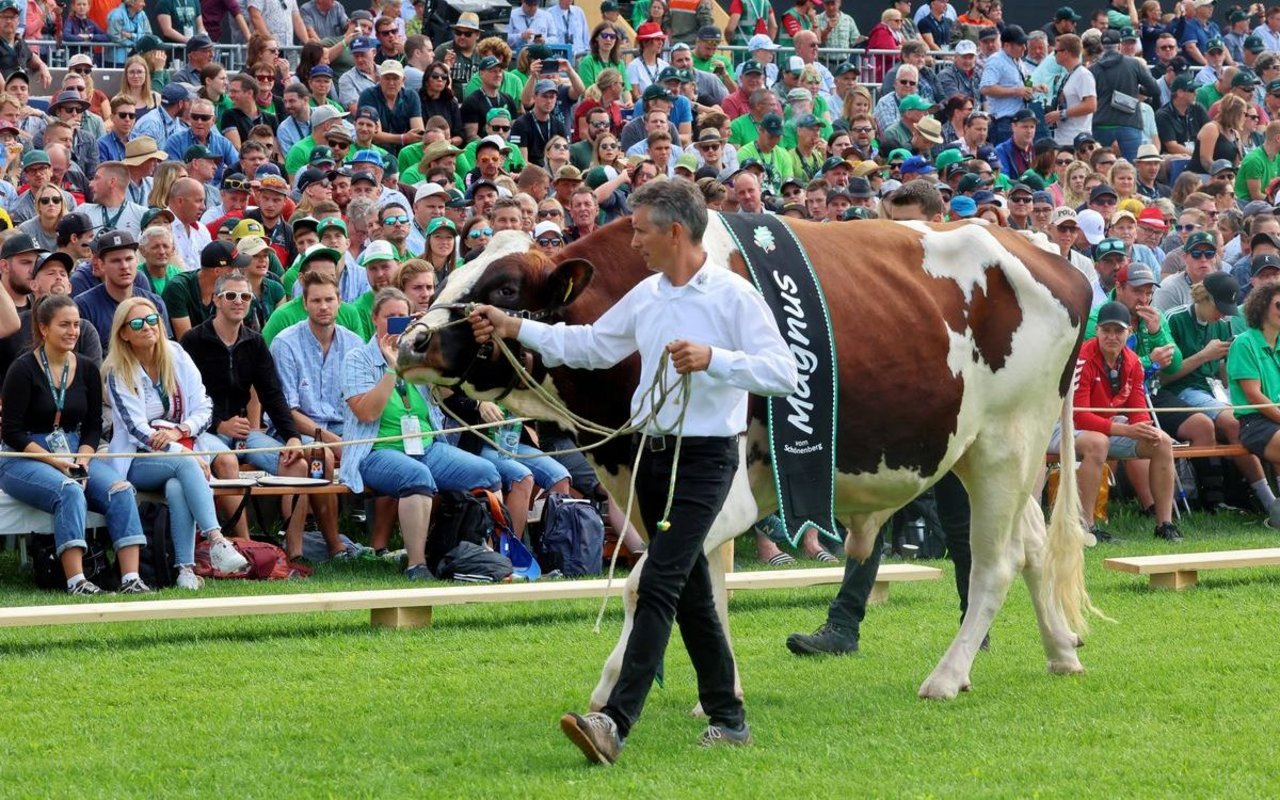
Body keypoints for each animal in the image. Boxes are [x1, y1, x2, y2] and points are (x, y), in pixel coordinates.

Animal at [398, 215, 1097, 702]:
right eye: (450, 274)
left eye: (504, 286)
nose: (411, 341)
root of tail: (1050, 256)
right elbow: (702, 586)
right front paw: (720, 688)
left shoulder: (722, 491)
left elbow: (647, 583)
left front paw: (609, 687)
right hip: (991, 451)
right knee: (1033, 546)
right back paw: (1062, 652)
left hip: (1009, 441)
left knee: (996, 562)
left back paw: (948, 676)